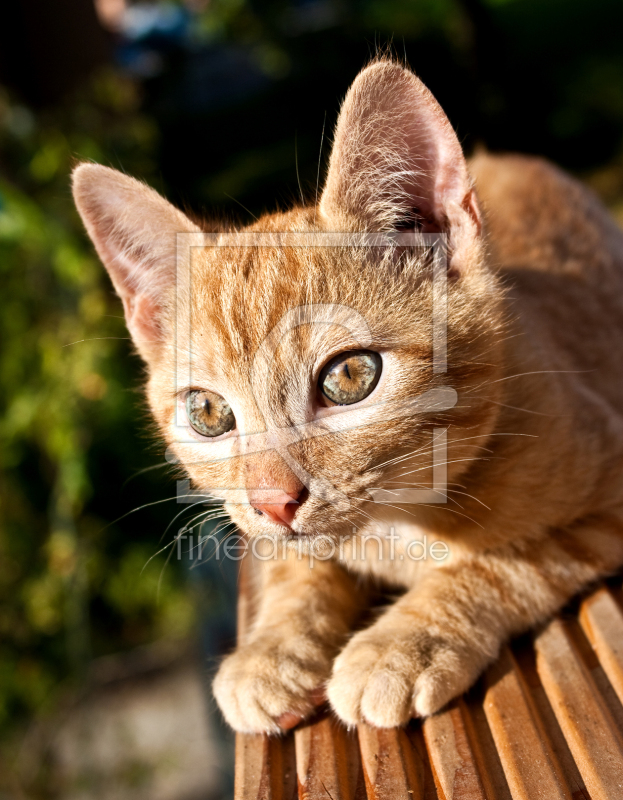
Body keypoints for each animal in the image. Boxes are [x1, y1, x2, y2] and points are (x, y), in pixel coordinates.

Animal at [73, 59, 623, 736]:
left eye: (350, 377)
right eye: (208, 413)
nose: (274, 502)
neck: (395, 525)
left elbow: (505, 559)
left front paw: (402, 644)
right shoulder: (272, 535)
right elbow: (292, 568)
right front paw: (272, 649)